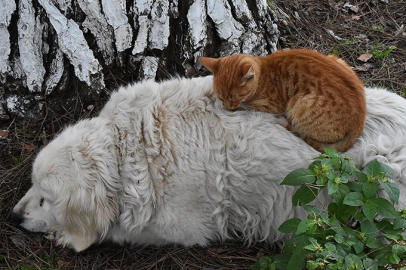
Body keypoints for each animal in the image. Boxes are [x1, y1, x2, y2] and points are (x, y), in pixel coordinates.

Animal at [11, 75, 406, 251]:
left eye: (46, 199)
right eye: (32, 184)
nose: (13, 217)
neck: (128, 150)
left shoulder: (185, 230)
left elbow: (118, 230)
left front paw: (67, 235)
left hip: (381, 173)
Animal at [201, 49, 366, 153]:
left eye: (232, 98)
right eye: (221, 97)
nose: (227, 107)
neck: (263, 72)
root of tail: (359, 125)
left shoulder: (270, 105)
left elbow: (247, 105)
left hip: (299, 104)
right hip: (337, 59)